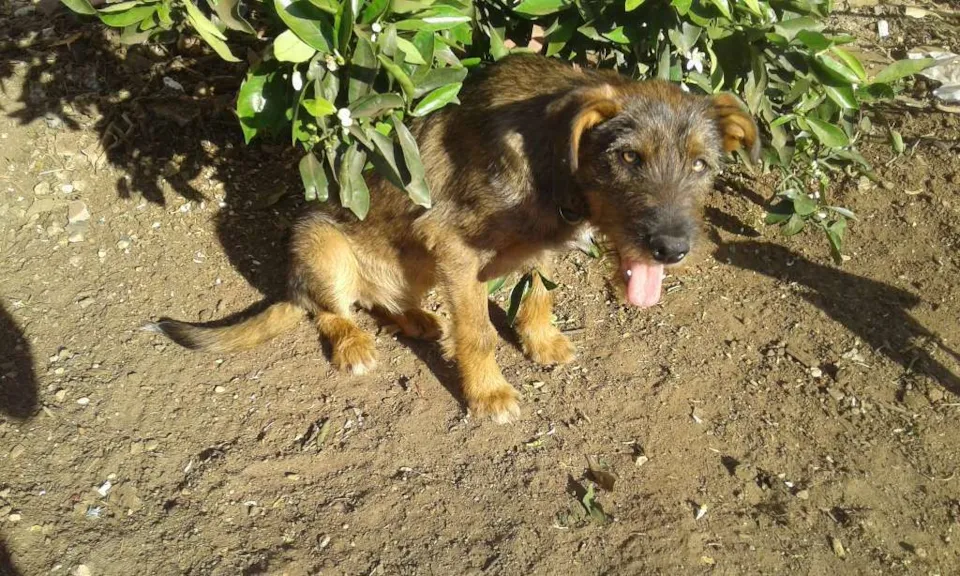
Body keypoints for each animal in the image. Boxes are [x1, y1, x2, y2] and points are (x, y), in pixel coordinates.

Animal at [154, 54, 758, 423]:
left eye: (701, 165)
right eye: (629, 158)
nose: (672, 249)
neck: (552, 157)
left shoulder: (532, 249)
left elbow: (536, 294)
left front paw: (542, 341)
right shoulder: (456, 253)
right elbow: (478, 334)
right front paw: (489, 393)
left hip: (413, 268)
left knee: (386, 300)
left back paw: (416, 318)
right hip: (323, 244)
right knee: (327, 309)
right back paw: (354, 343)